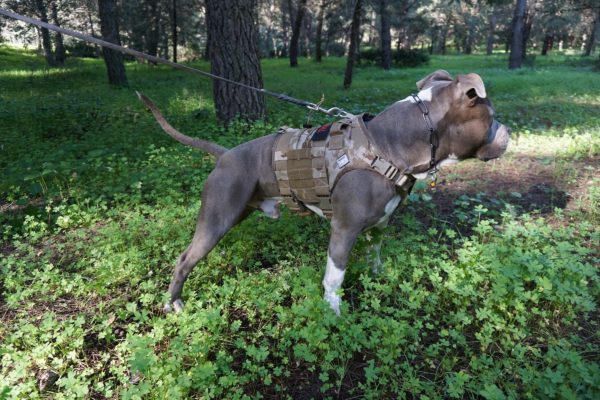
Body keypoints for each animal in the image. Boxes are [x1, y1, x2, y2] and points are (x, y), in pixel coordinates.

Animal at [137, 69, 510, 316]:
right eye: (491, 115)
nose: (507, 131)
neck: (391, 145)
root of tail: (225, 154)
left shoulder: (380, 224)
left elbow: (375, 254)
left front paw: (377, 276)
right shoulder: (343, 230)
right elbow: (335, 276)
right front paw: (333, 313)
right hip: (217, 217)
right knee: (185, 259)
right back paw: (174, 303)